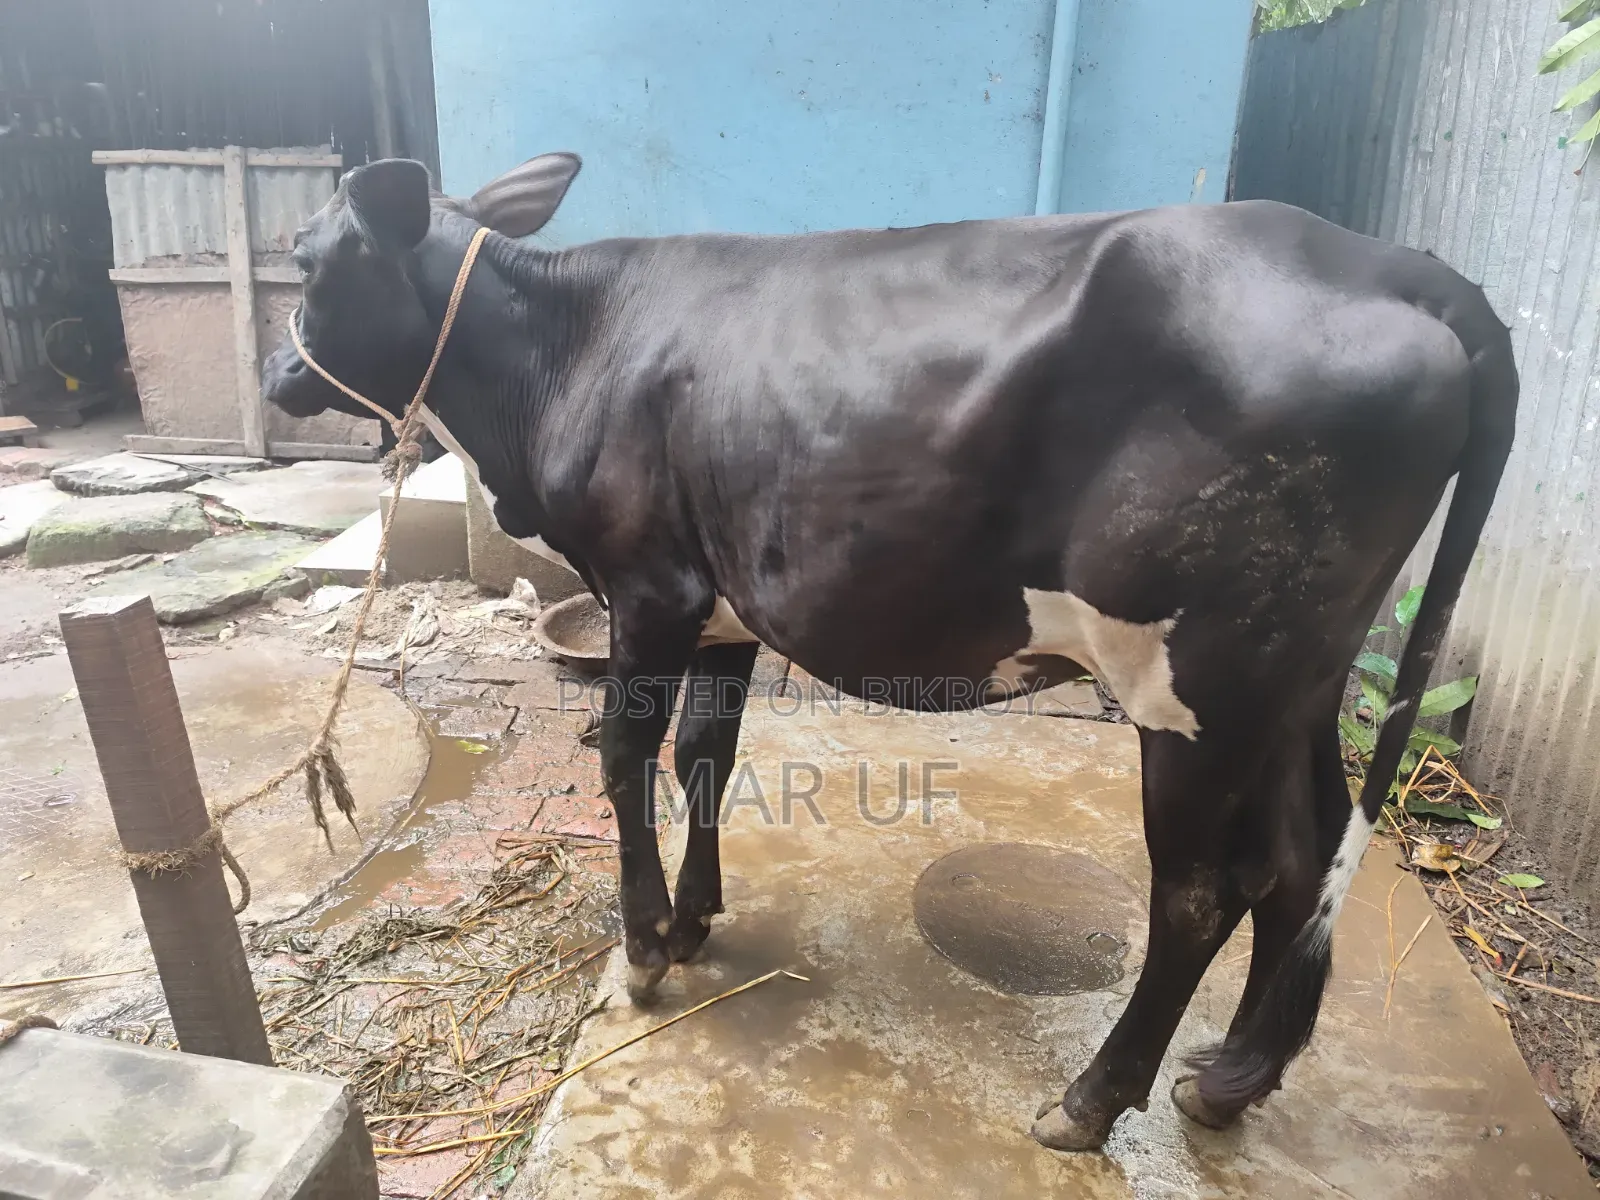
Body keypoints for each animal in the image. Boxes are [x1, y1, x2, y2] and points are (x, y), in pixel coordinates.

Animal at [261, 153, 1516, 1152]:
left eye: (309, 260)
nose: (276, 376)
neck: (565, 352)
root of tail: (1386, 262)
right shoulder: (719, 604)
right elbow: (703, 756)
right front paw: (695, 918)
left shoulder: (648, 587)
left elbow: (623, 760)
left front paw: (644, 949)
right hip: (1294, 679)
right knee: (1302, 857)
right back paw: (1232, 1080)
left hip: (1201, 678)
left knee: (1205, 892)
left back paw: (1090, 1102)